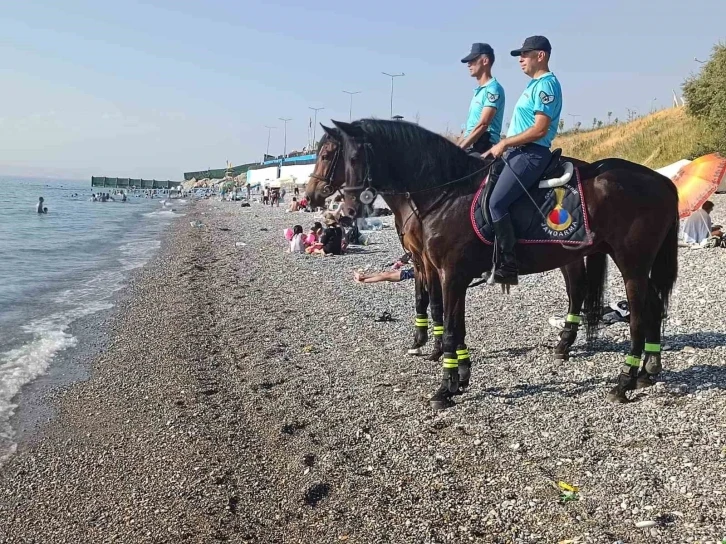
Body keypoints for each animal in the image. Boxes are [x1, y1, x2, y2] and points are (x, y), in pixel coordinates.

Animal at [308, 132, 616, 370]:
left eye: (327, 154)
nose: (311, 194)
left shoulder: (434, 263)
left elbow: (435, 302)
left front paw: (437, 349)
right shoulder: (421, 260)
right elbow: (426, 300)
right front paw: (427, 344)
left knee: (578, 291)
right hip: (567, 254)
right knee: (576, 290)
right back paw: (564, 344)